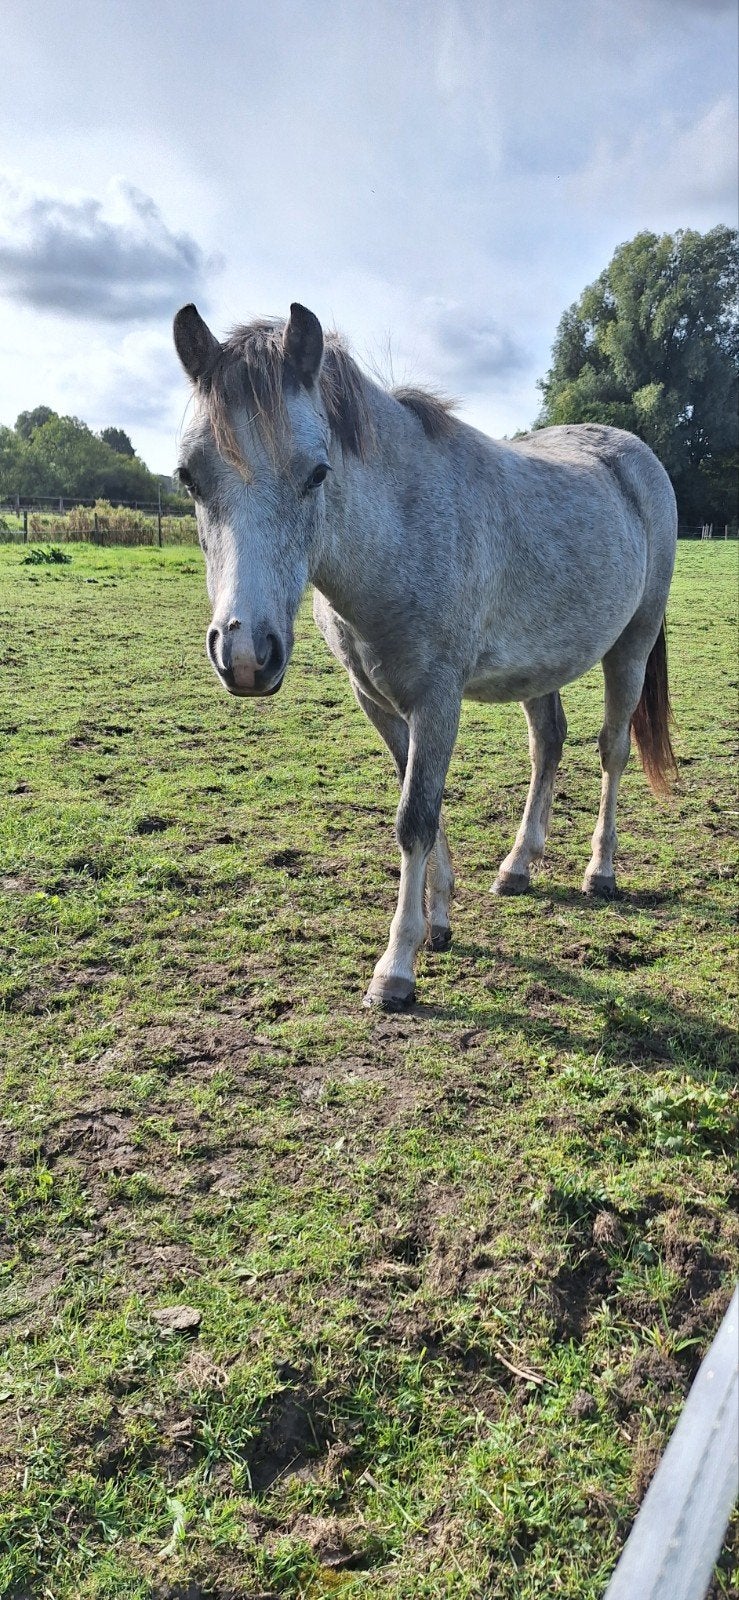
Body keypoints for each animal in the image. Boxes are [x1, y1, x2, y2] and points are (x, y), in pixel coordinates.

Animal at [173, 301, 677, 1010]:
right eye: (188, 477)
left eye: (317, 472)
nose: (245, 652)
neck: (400, 531)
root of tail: (634, 453)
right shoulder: (380, 701)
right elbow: (418, 800)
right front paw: (439, 918)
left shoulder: (437, 700)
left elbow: (414, 817)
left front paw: (396, 967)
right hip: (541, 668)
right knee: (548, 744)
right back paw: (518, 866)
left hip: (630, 648)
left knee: (612, 751)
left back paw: (599, 872)